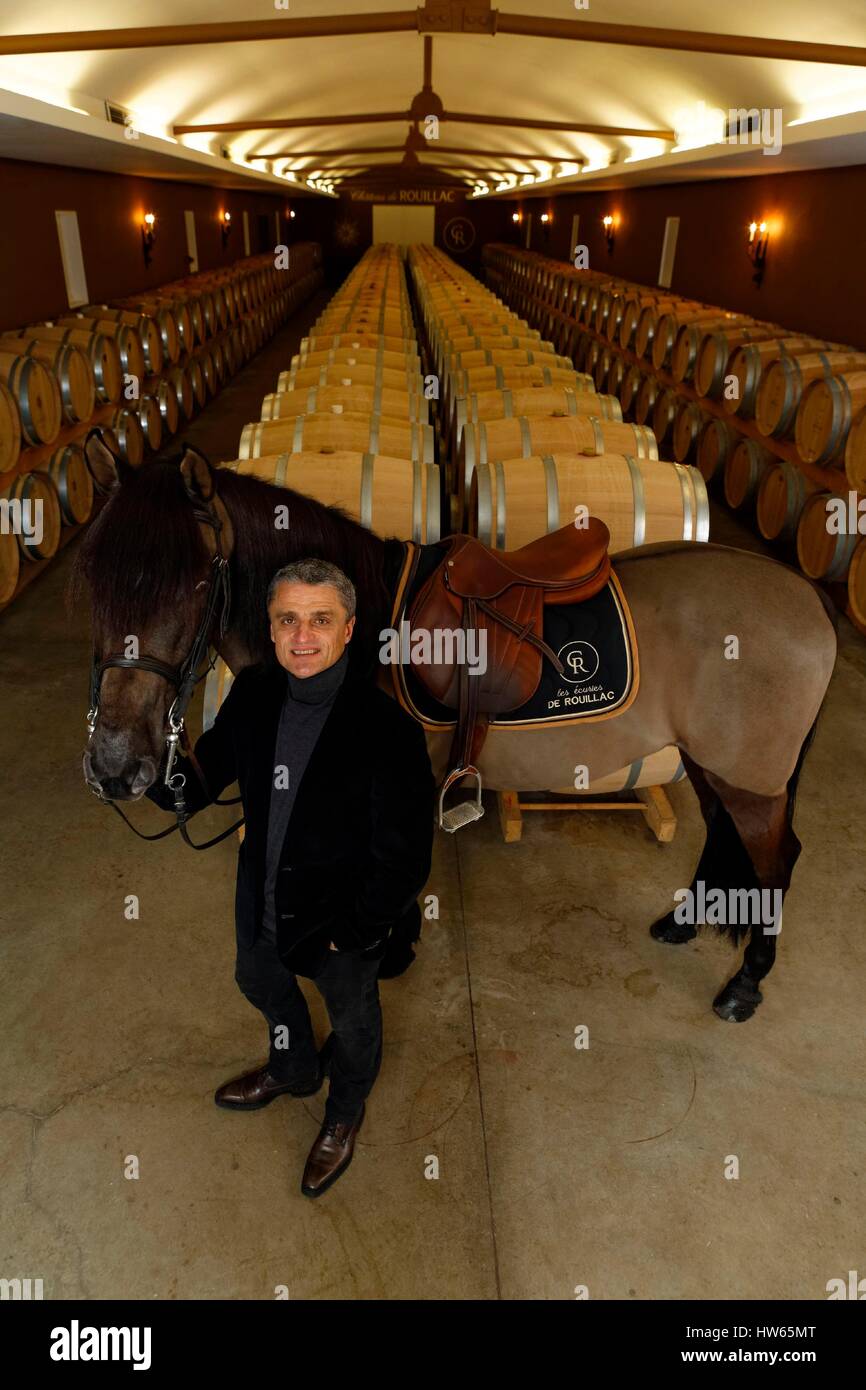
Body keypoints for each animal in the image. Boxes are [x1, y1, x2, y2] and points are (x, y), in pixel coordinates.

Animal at [76, 433, 839, 1023]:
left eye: (197, 584)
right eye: (95, 589)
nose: (116, 764)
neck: (359, 628)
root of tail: (808, 600)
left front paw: (389, 946)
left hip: (751, 781)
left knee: (778, 860)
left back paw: (746, 983)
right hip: (713, 764)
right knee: (725, 836)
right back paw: (685, 925)